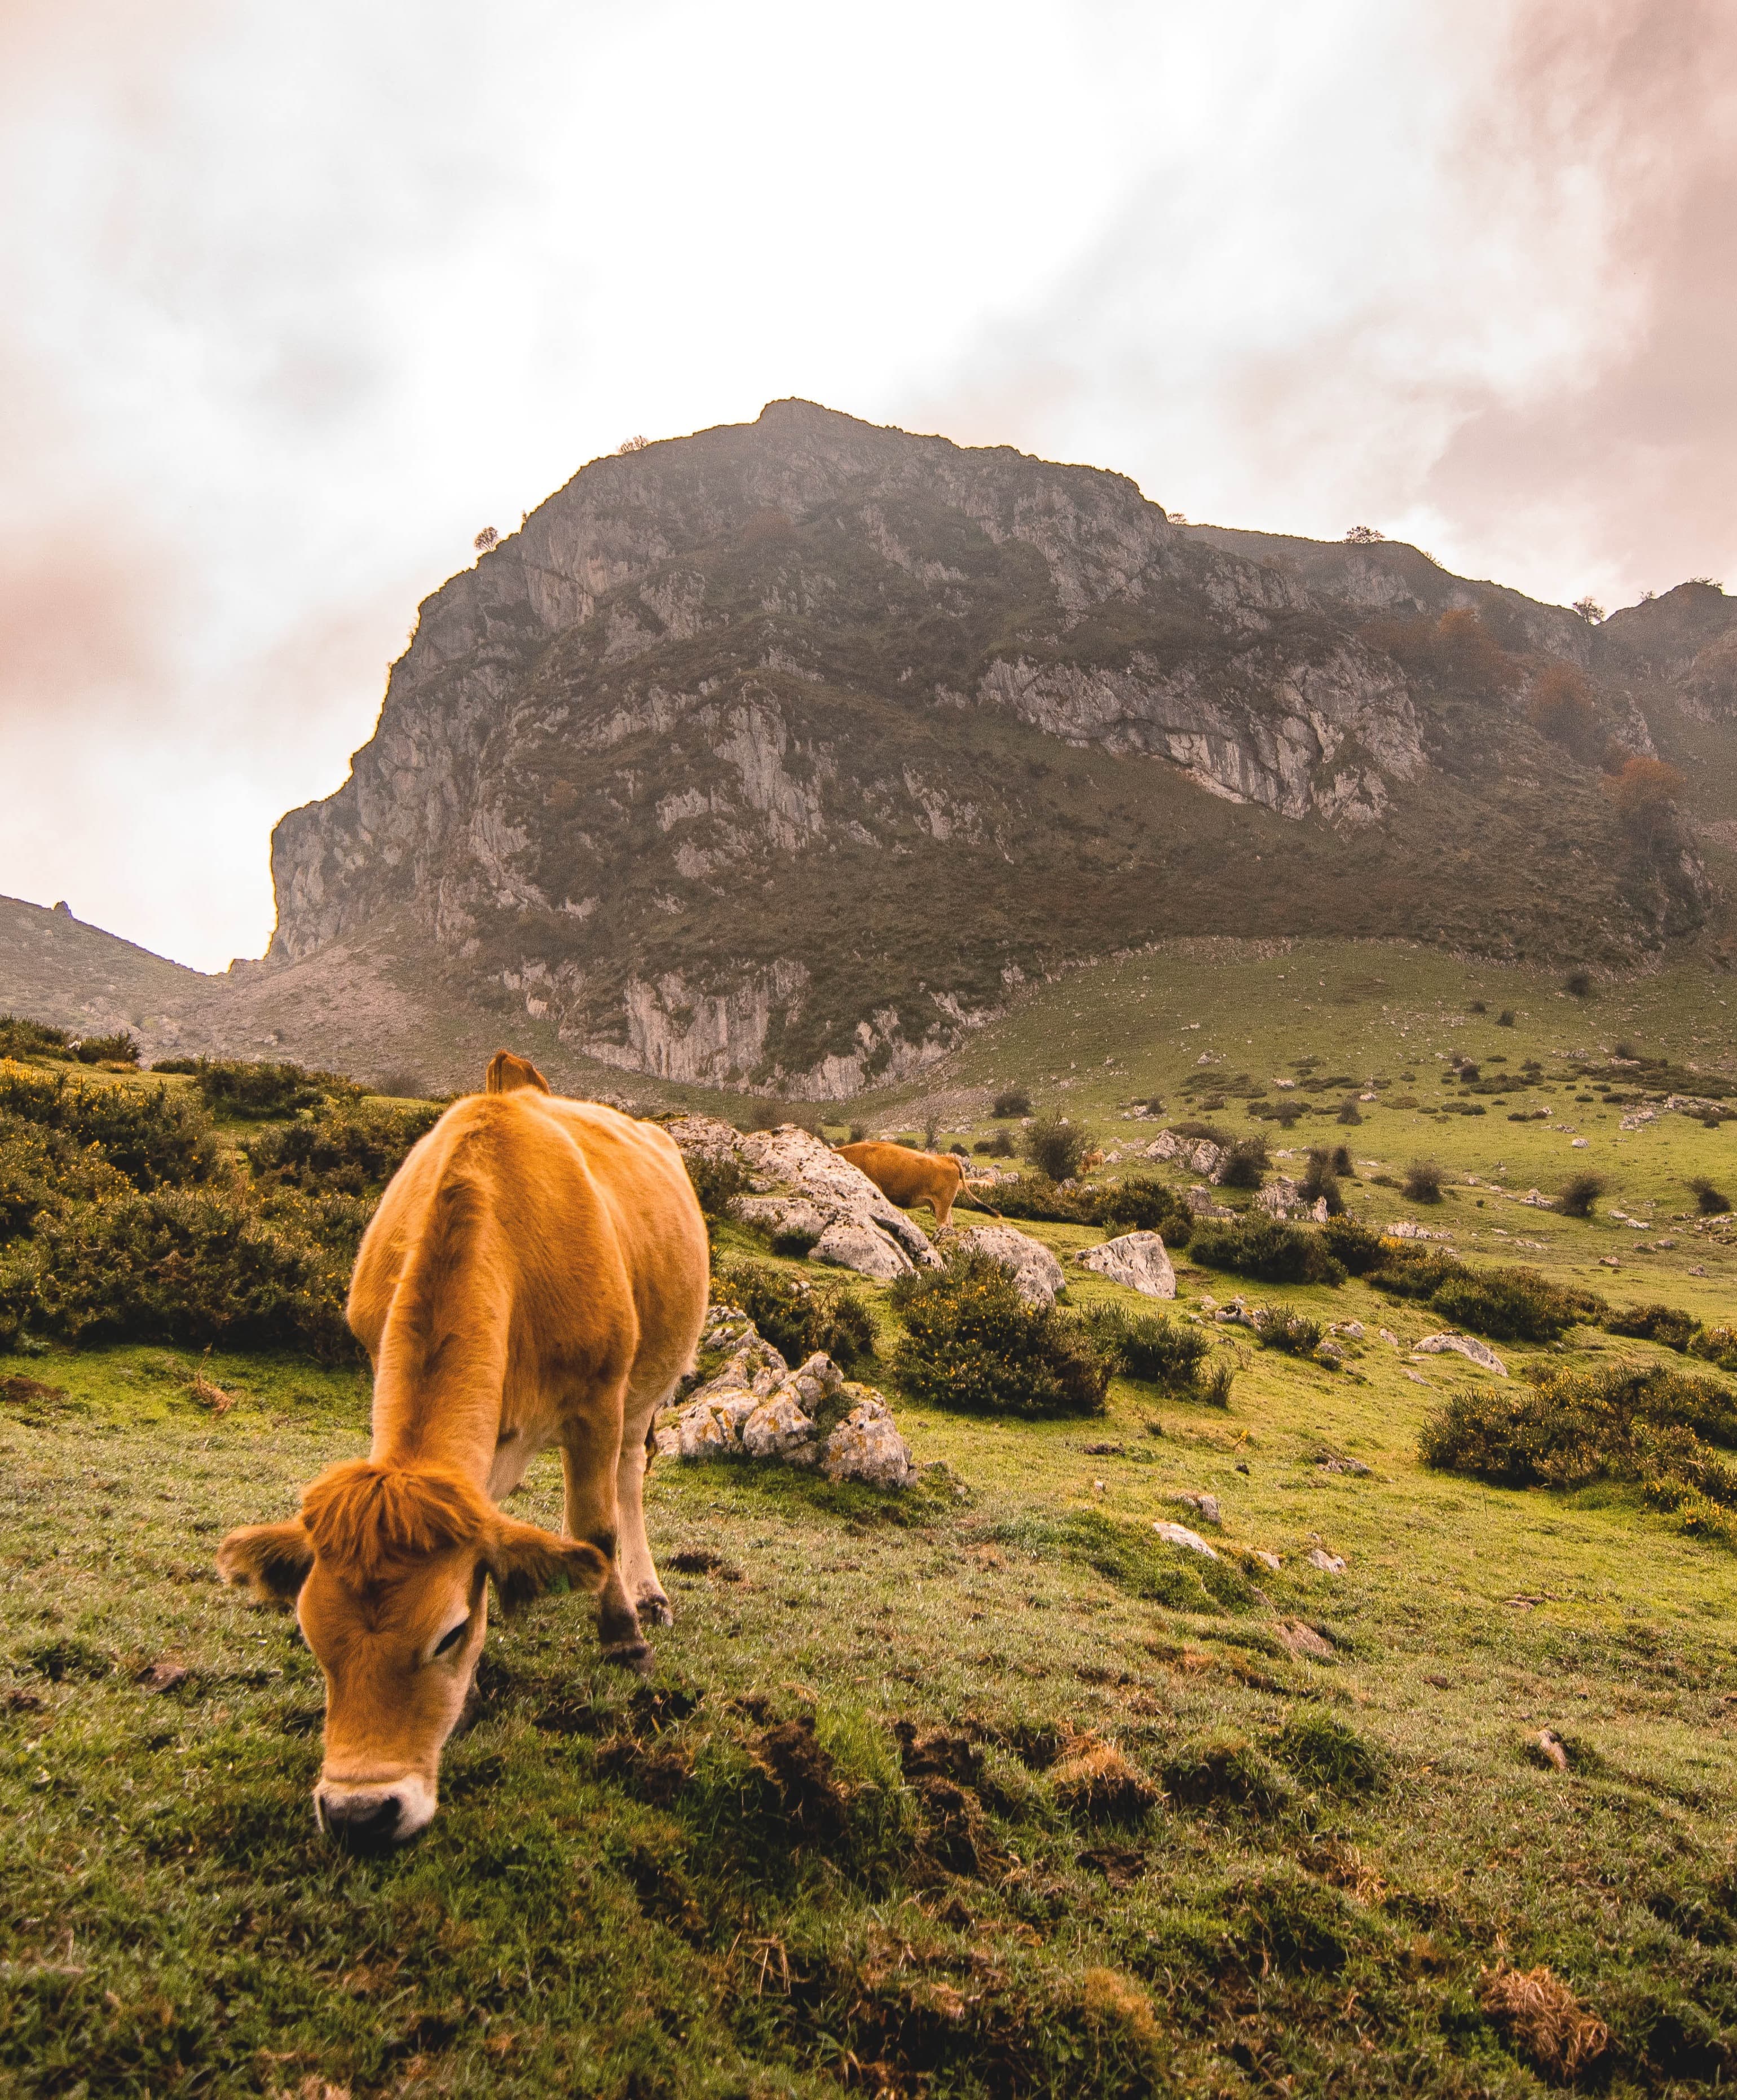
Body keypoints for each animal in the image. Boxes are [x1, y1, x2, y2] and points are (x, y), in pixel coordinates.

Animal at [215, 1049, 708, 1844]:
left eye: (446, 1634)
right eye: (312, 1638)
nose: (360, 1812)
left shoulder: (598, 1397)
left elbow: (595, 1526)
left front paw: (623, 1638)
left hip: (648, 1383)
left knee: (628, 1478)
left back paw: (647, 1593)